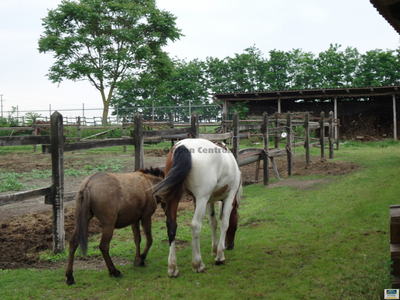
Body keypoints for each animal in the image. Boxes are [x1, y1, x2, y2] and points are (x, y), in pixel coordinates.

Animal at [152, 138, 241, 276]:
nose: (230, 245)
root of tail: (182, 146)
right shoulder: (229, 197)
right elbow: (224, 224)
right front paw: (219, 256)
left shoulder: (209, 200)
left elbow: (213, 223)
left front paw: (214, 249)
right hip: (201, 199)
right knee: (195, 226)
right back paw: (198, 264)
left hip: (176, 196)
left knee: (171, 226)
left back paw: (173, 268)